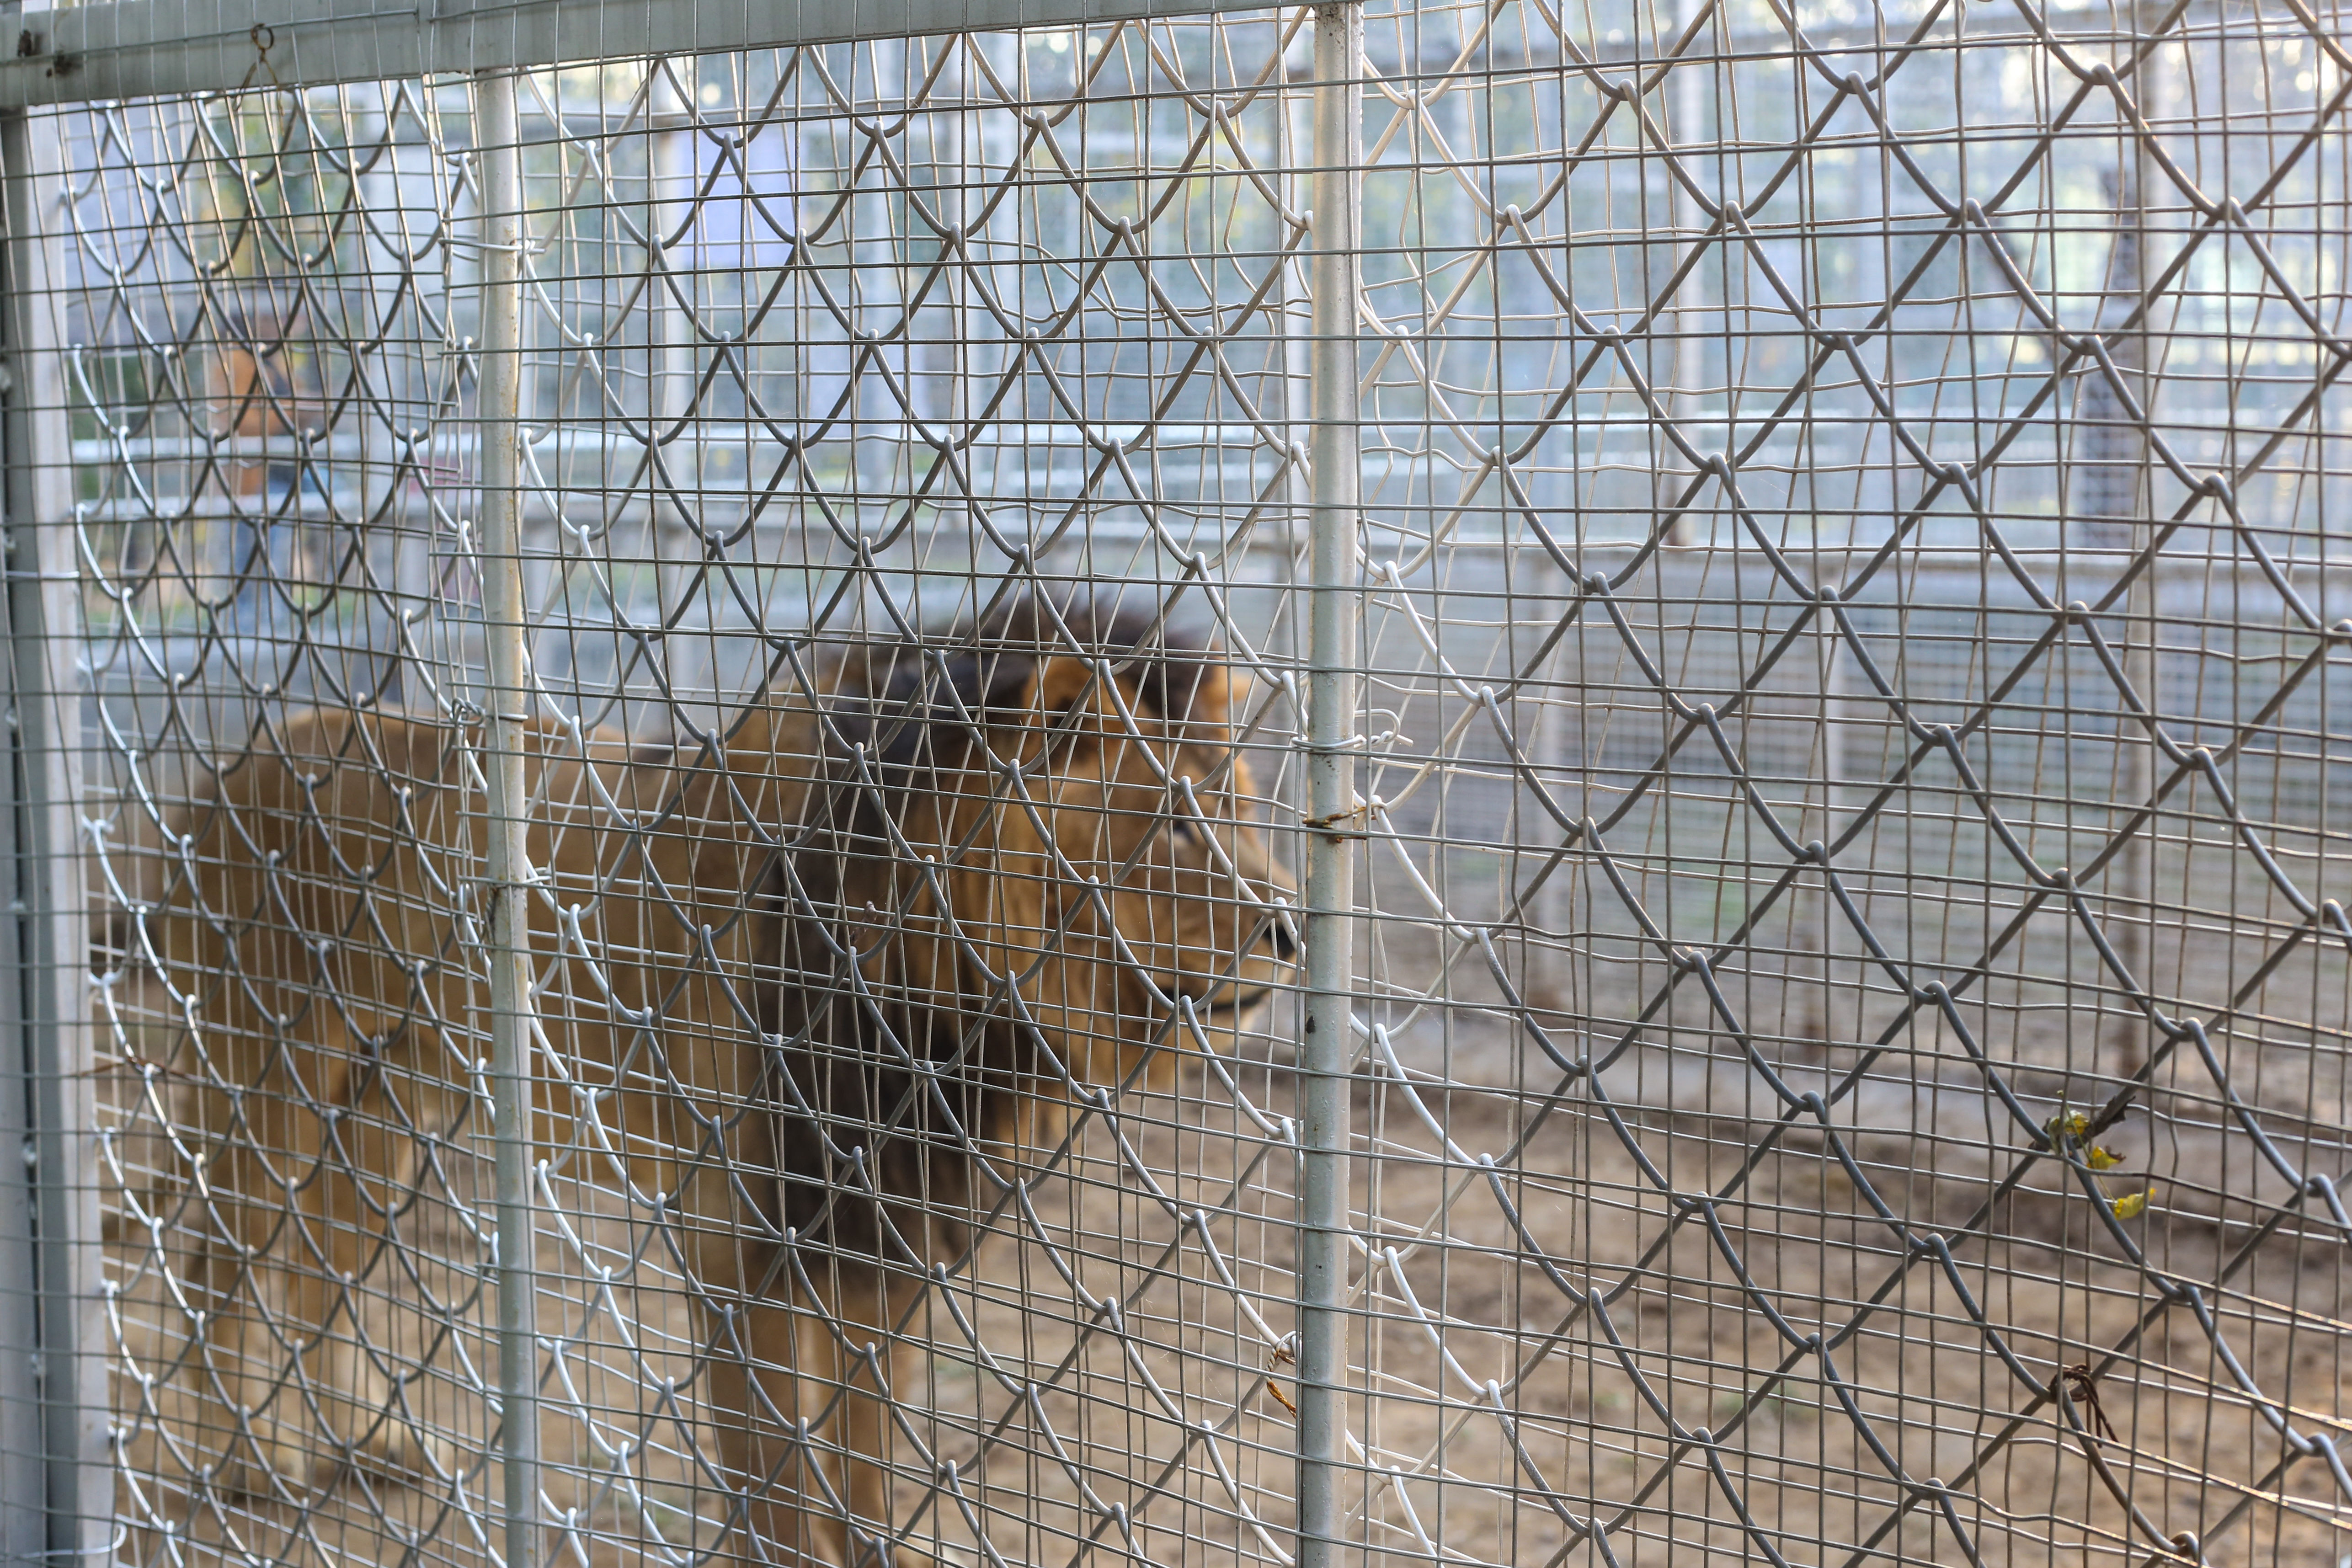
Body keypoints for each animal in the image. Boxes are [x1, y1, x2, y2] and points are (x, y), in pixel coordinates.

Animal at [101, 595, 1298, 1561]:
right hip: (271, 1076)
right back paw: (248, 1463)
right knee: (219, 1259)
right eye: (1175, 821)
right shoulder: (741, 1239)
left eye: (1239, 805)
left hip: (385, 1098)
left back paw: (366, 1441)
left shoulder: (884, 1229)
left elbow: (868, 1461)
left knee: (319, 1263)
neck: (951, 1009)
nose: (1290, 933)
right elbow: (775, 1478)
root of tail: (227, 766)